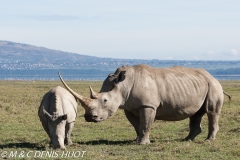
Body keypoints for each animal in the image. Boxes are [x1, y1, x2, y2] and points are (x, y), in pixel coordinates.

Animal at [59, 64, 224, 144]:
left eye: (105, 100)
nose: (89, 117)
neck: (122, 85)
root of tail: (213, 76)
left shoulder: (148, 105)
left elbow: (145, 124)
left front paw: (142, 144)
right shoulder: (129, 107)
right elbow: (137, 125)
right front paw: (136, 141)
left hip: (213, 85)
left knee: (211, 112)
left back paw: (208, 141)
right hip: (198, 85)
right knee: (196, 113)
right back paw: (187, 140)